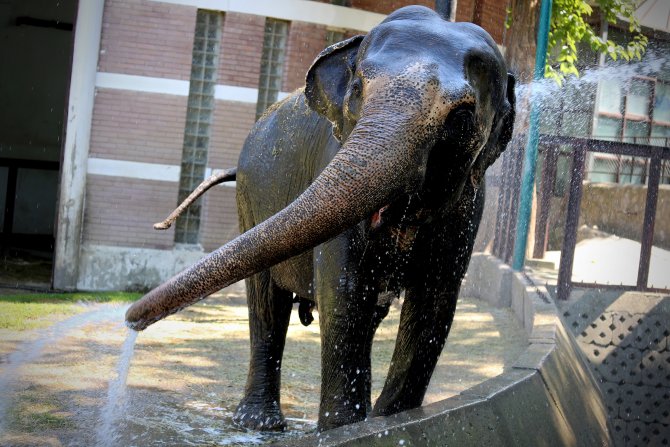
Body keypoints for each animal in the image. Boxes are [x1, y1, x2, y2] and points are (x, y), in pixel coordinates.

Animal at [124, 5, 516, 434]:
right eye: (358, 88)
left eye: (462, 118)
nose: (130, 321)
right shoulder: (332, 155)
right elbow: (343, 290)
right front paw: (342, 430)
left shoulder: (468, 208)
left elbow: (434, 303)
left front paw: (387, 423)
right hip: (250, 196)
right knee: (266, 302)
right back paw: (258, 424)